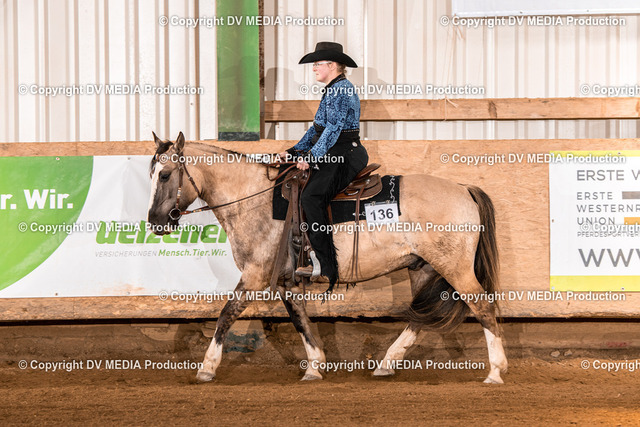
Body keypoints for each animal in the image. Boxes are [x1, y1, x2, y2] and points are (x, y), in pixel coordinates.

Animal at [147, 132, 508, 384]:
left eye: (164, 175)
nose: (154, 222)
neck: (253, 200)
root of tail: (463, 188)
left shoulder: (255, 275)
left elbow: (226, 314)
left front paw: (207, 368)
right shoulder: (286, 281)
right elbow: (299, 320)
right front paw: (315, 366)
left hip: (455, 267)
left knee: (482, 306)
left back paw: (495, 371)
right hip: (423, 267)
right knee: (419, 317)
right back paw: (386, 364)